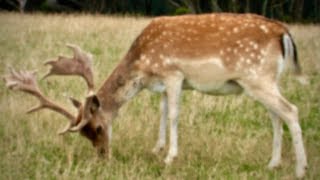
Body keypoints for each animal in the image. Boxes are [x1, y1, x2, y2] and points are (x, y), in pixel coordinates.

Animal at [3, 13, 308, 178]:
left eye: (98, 127)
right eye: (85, 135)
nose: (103, 156)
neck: (143, 67)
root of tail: (285, 33)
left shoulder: (174, 74)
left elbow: (173, 115)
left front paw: (170, 157)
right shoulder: (162, 84)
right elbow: (161, 114)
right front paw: (157, 148)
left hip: (256, 77)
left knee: (291, 110)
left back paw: (300, 169)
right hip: (262, 82)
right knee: (276, 115)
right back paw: (272, 163)